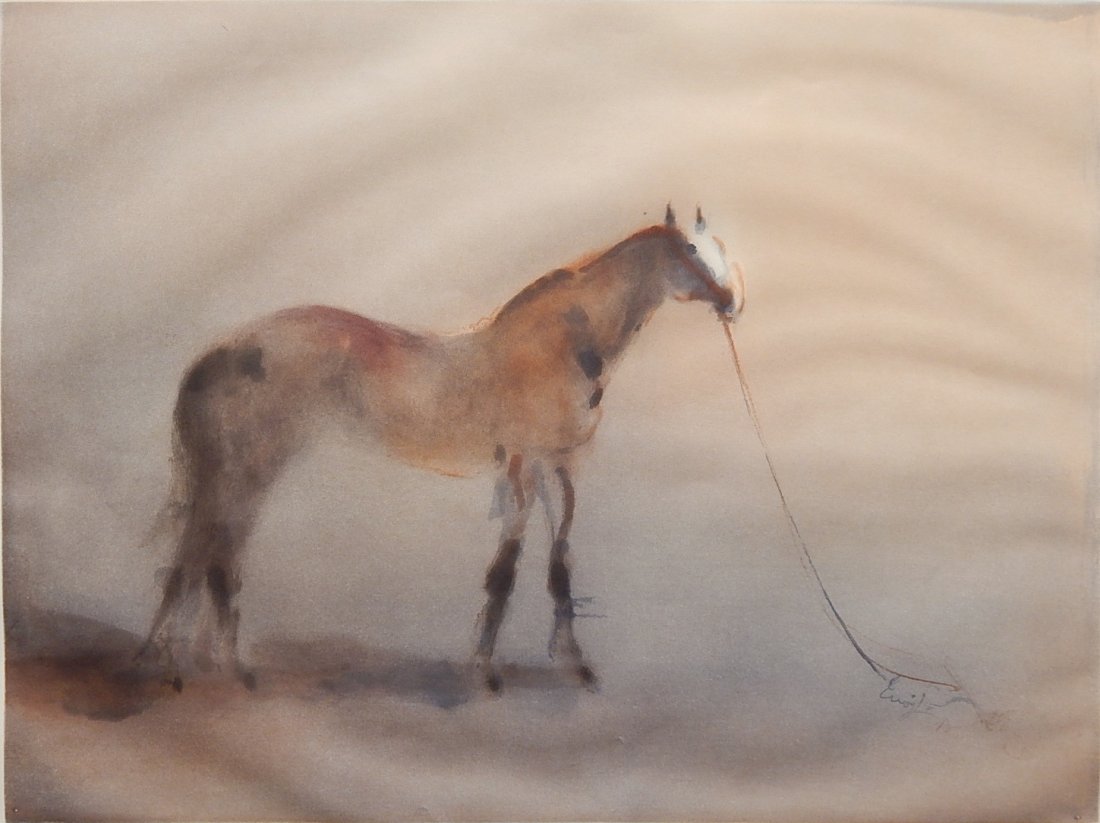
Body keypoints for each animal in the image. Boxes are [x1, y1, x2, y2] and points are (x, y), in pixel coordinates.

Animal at [138, 205, 745, 693]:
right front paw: (485, 673)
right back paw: (201, 668)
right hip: (246, 468)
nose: (731, 302)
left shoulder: (559, 467)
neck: (567, 344)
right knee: (206, 557)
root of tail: (215, 355)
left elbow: (559, 567)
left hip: (247, 470)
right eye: (691, 249)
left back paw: (208, 664)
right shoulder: (524, 467)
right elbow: (505, 572)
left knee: (210, 556)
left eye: (720, 245)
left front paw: (576, 667)